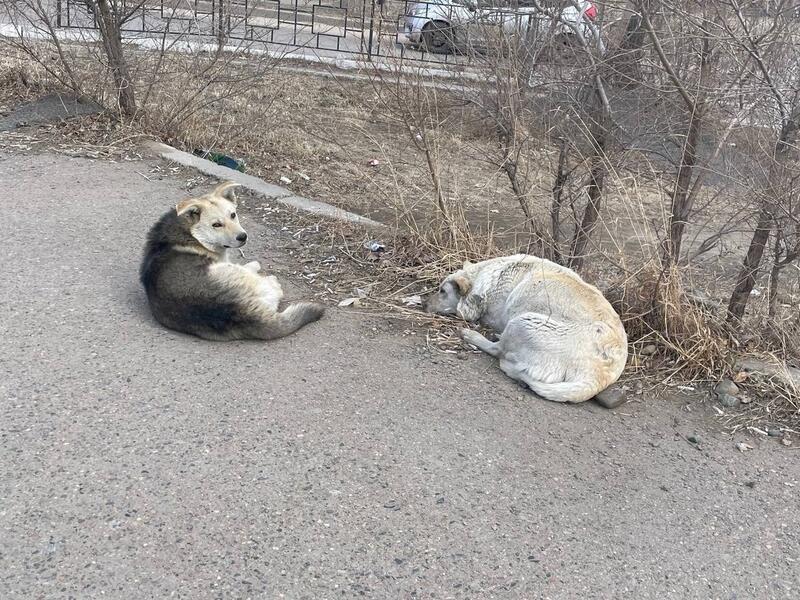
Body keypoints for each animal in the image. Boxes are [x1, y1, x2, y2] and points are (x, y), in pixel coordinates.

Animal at [422, 253, 628, 404]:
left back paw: (472, 336)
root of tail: (598, 380)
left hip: (522, 322)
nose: (423, 304)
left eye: (442, 291)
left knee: (497, 350)